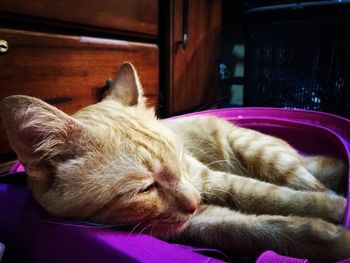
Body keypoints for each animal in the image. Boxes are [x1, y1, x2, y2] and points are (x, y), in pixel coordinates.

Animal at [0, 63, 348, 262]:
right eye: (144, 189)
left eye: (179, 159)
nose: (194, 201)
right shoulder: (194, 221)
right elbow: (252, 227)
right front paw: (326, 237)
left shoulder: (209, 178)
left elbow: (268, 194)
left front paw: (331, 211)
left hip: (262, 153)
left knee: (307, 179)